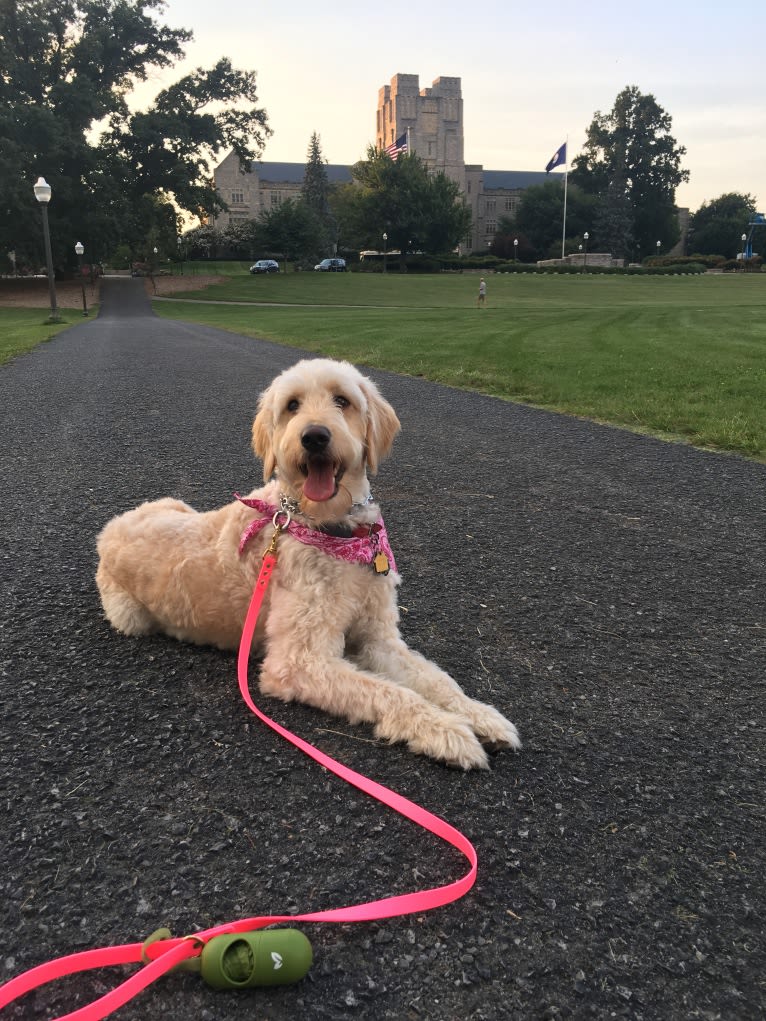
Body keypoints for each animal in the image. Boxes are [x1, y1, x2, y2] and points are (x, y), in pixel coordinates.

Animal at [96, 359, 522, 767]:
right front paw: (446, 732)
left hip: (174, 504)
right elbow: (392, 692)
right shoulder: (297, 662)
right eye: (292, 405)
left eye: (342, 400)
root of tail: (108, 531)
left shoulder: (379, 639)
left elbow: (436, 679)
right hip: (130, 616)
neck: (333, 530)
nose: (314, 436)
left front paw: (479, 715)